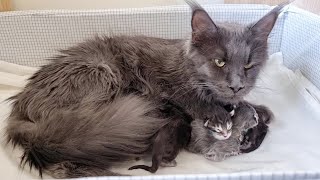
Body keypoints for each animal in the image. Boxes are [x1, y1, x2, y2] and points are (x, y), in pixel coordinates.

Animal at [5, 1, 282, 179]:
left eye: (249, 65)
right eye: (219, 62)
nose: (236, 85)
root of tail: (19, 112)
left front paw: (258, 110)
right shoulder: (168, 84)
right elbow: (195, 101)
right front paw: (220, 114)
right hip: (101, 74)